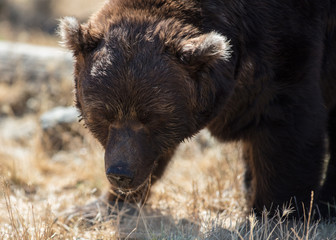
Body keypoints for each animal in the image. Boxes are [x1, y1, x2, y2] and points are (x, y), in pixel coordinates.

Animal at [59, 0, 336, 218]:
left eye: (152, 118)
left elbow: (289, 129)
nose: (121, 173)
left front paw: (277, 213)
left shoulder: (286, 48)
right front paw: (95, 207)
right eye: (103, 115)